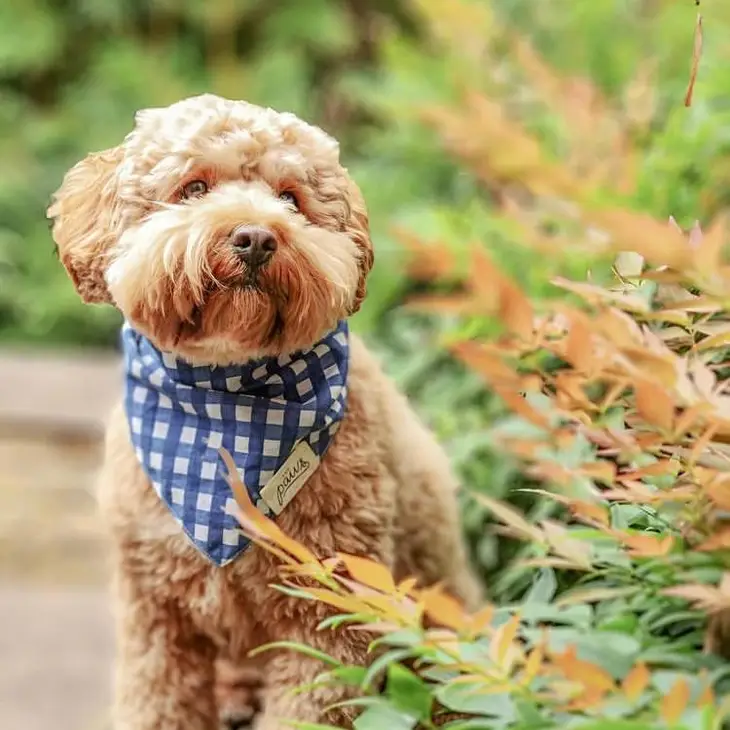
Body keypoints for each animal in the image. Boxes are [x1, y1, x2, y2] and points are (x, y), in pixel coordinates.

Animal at [48, 94, 480, 724]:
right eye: (193, 187)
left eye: (290, 199)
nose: (254, 237)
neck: (220, 407)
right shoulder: (154, 616)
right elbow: (155, 703)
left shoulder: (326, 613)